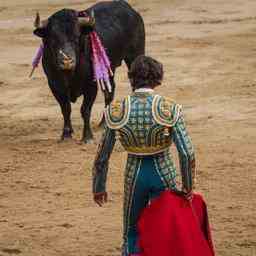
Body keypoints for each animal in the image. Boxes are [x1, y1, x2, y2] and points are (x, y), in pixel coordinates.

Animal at [32, 0, 144, 142]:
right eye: (53, 39)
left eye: (76, 37)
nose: (67, 61)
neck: (70, 73)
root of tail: (128, 7)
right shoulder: (54, 85)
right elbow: (65, 108)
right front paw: (66, 134)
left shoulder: (91, 85)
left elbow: (85, 109)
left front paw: (87, 136)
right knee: (109, 91)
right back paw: (103, 123)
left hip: (135, 56)